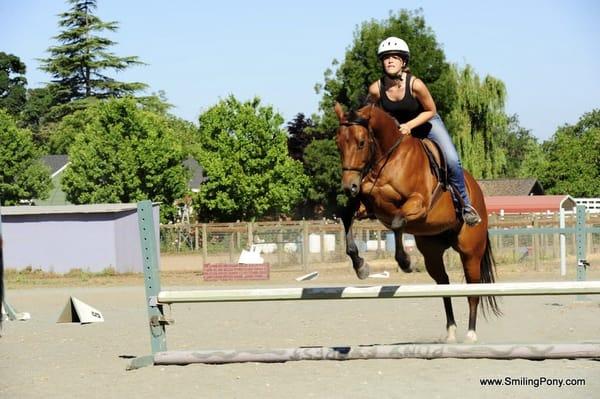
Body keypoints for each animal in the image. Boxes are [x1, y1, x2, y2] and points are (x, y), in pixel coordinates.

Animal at [336, 103, 500, 344]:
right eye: (338, 143)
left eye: (362, 142)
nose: (350, 187)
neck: (388, 158)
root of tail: (477, 192)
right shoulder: (368, 206)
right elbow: (348, 218)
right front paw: (360, 266)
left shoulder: (418, 204)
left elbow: (397, 223)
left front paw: (405, 262)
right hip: (432, 253)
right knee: (444, 285)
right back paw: (451, 331)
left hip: (471, 253)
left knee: (473, 290)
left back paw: (470, 334)